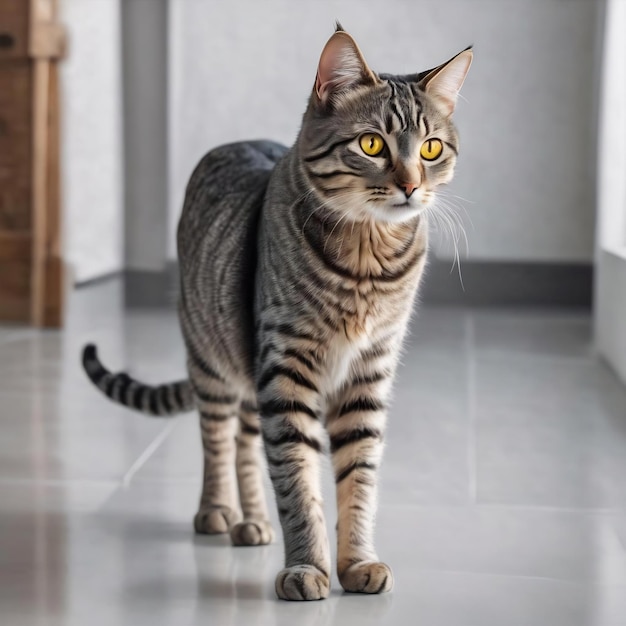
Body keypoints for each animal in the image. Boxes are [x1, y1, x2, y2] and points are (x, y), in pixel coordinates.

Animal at [80, 25, 470, 600]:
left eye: (431, 148)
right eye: (371, 144)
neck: (366, 262)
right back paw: (217, 510)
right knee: (218, 440)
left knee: (246, 442)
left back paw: (253, 520)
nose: (411, 185)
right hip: (213, 359)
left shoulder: (367, 375)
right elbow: (298, 479)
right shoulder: (286, 369)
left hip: (248, 367)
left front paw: (356, 562)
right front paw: (308, 566)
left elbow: (358, 479)